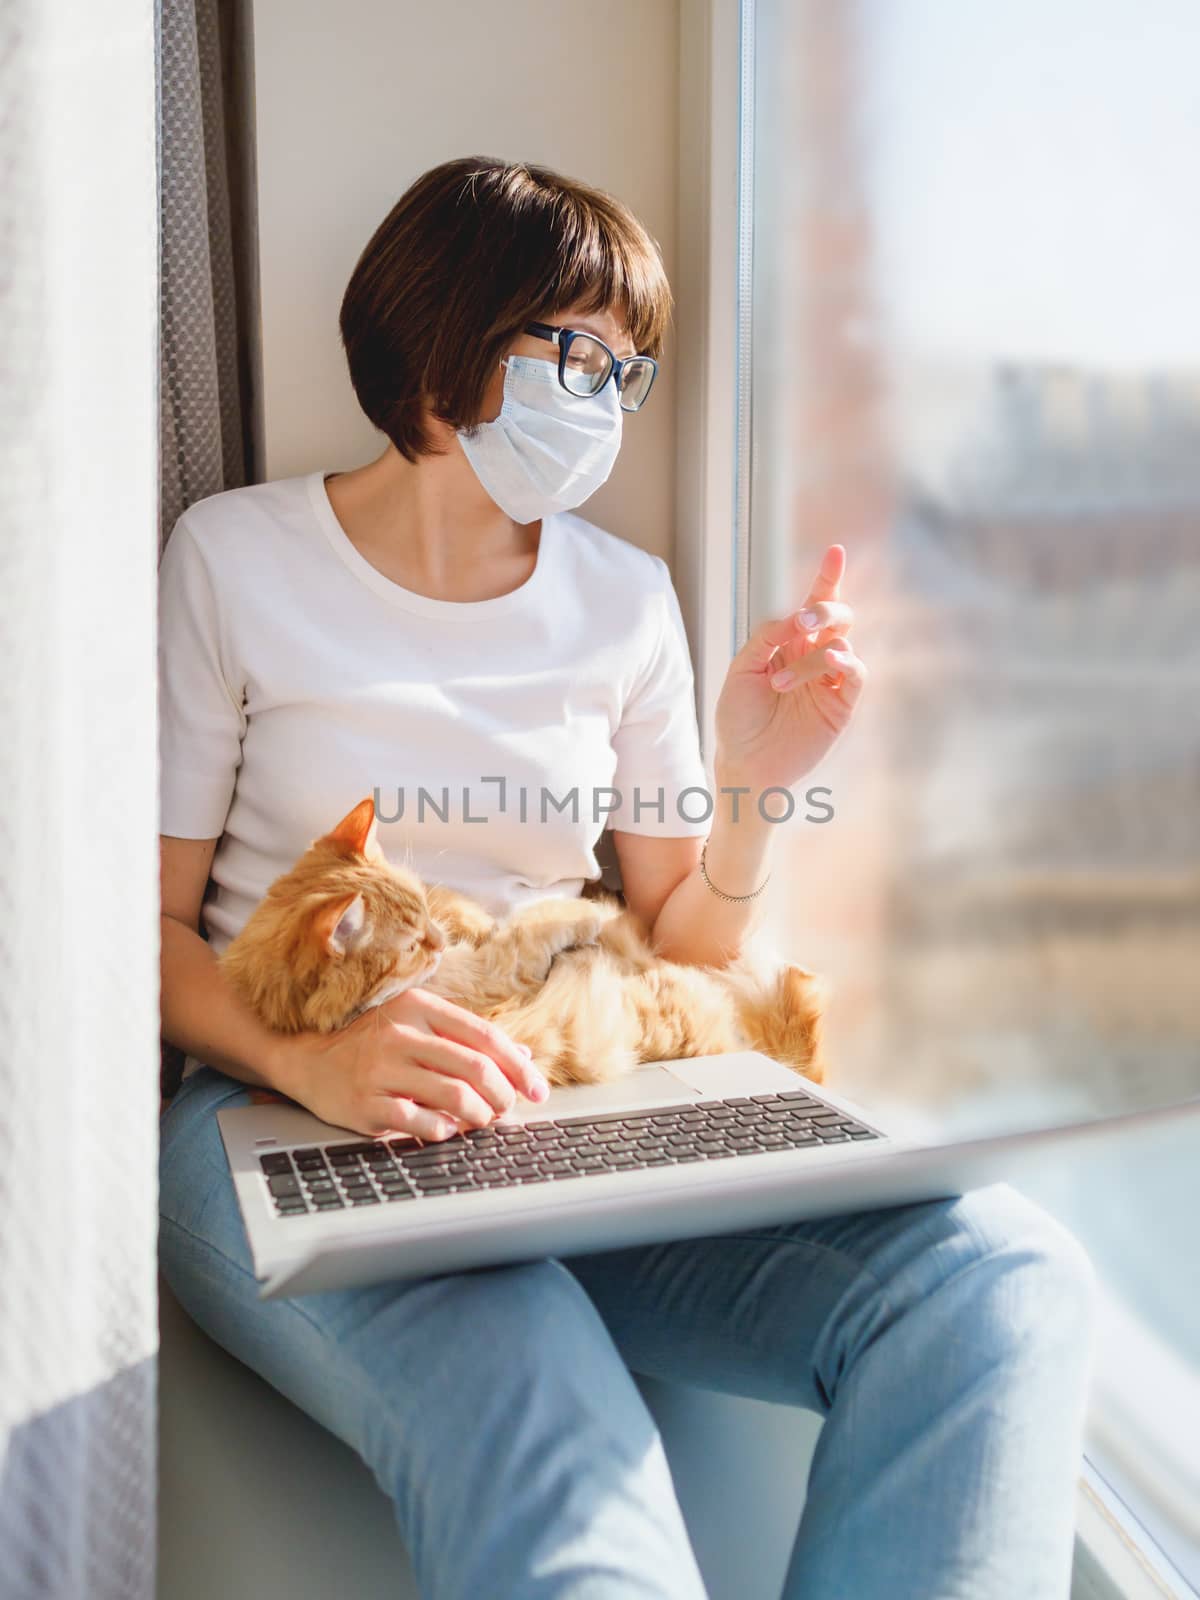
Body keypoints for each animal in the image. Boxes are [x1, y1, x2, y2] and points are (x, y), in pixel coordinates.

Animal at [219, 796, 825, 1088]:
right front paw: (581, 916)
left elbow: (477, 915)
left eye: (422, 920)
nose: (437, 939)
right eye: (411, 947)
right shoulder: (488, 976)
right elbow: (532, 932)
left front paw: (473, 922)